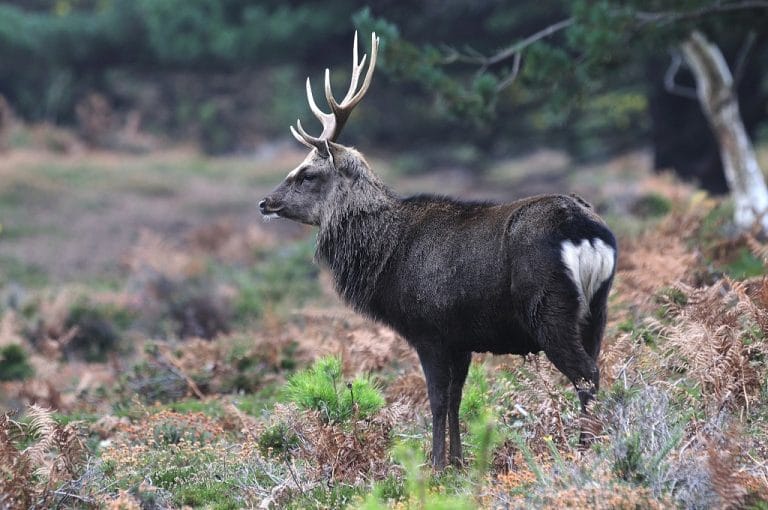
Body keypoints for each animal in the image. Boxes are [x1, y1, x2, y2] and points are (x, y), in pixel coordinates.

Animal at [259, 32, 617, 469]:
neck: (384, 257)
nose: (265, 202)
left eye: (307, 173)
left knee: (586, 374)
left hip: (550, 307)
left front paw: (435, 465)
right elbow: (459, 398)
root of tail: (587, 232)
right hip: (597, 309)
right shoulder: (461, 337)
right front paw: (460, 461)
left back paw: (586, 450)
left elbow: (437, 399)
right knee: (596, 366)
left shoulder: (428, 328)